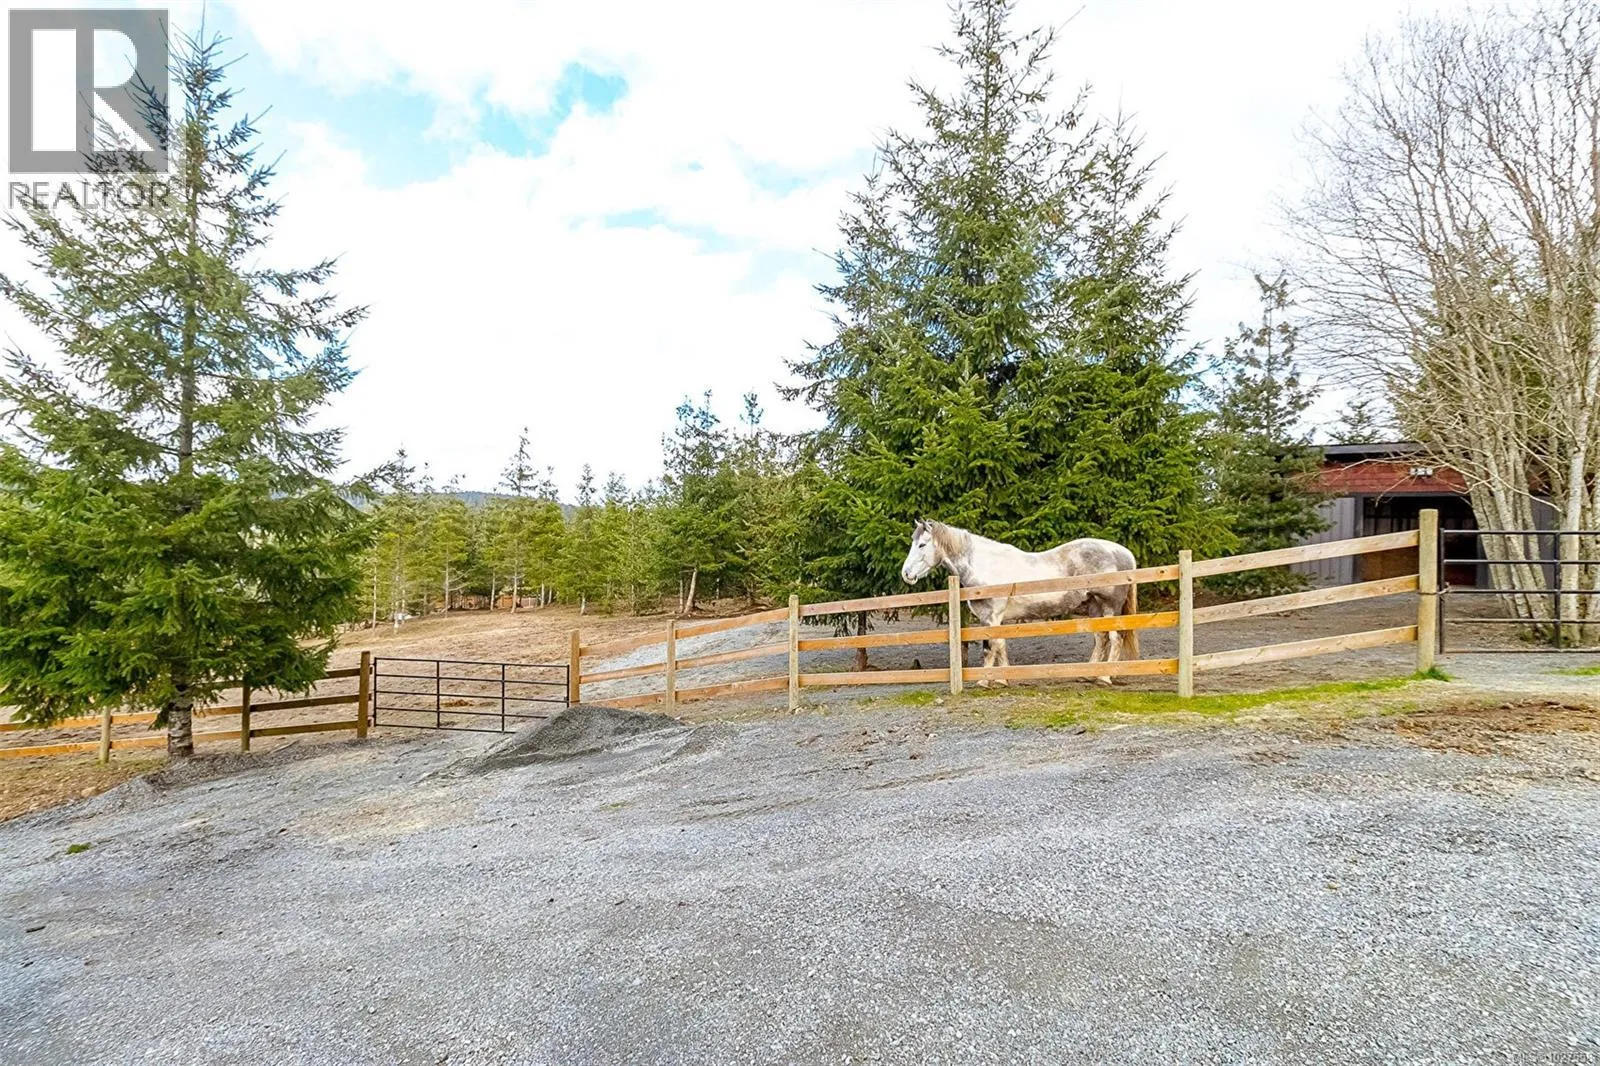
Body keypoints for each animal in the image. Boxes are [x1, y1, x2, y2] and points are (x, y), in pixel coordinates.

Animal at [899, 520, 1141, 686]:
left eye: (922, 545)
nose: (906, 574)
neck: (986, 566)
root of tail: (1125, 552)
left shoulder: (991, 616)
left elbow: (989, 648)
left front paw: (984, 681)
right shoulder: (996, 619)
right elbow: (1000, 645)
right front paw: (1002, 680)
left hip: (1110, 607)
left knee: (1114, 639)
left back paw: (1104, 677)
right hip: (1094, 606)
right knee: (1101, 638)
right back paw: (1090, 673)